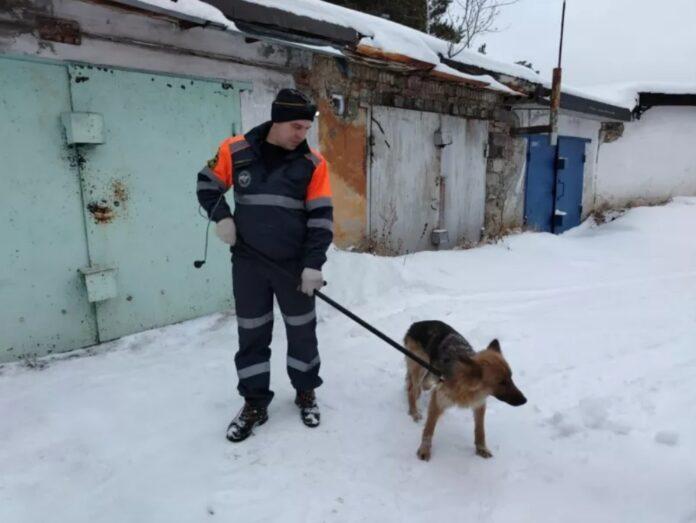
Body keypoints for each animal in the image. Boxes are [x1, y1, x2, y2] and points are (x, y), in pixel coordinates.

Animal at [402, 320, 528, 462]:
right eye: (501, 382)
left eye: (511, 377)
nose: (524, 400)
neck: (466, 386)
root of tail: (416, 324)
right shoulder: (438, 400)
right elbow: (429, 429)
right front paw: (424, 449)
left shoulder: (479, 404)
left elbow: (480, 430)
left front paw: (481, 449)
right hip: (419, 366)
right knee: (412, 389)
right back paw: (414, 411)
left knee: (423, 384)